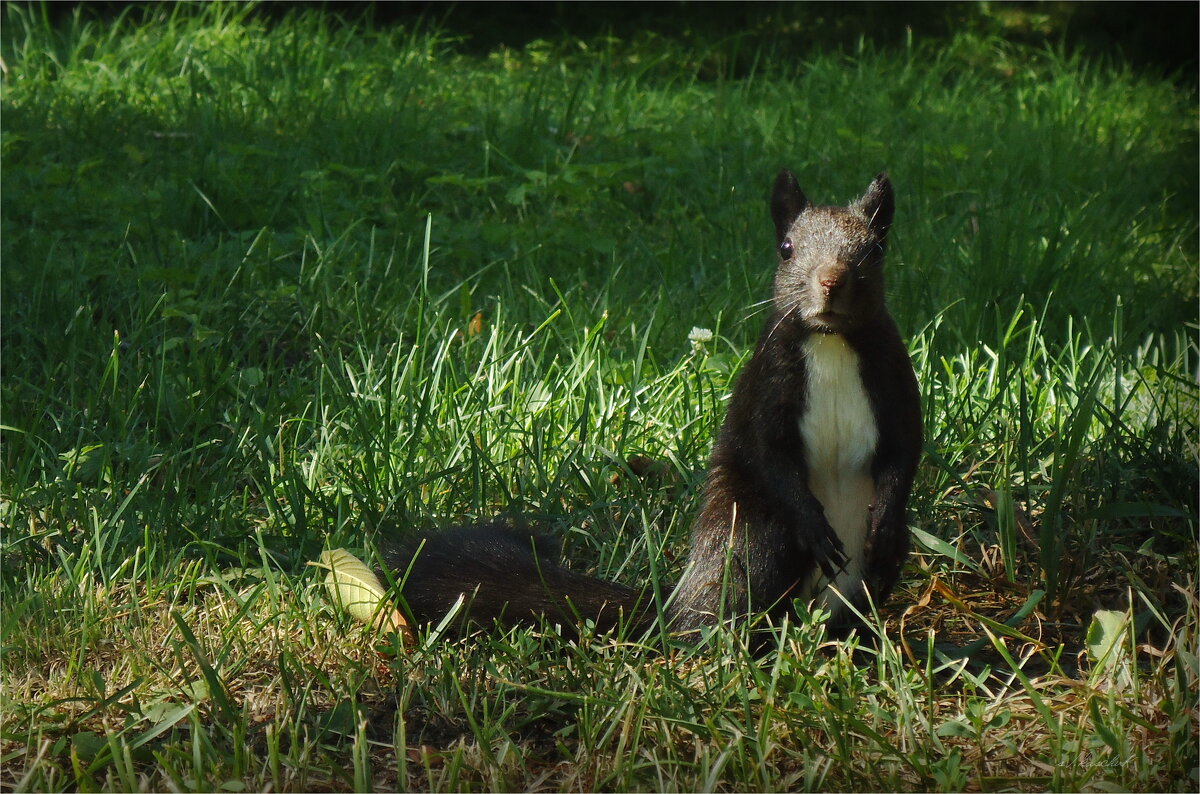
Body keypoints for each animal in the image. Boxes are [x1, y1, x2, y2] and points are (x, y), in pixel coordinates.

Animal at [384, 171, 916, 642]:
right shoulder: (766, 390)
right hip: (750, 532)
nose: (831, 280)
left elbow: (902, 451)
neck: (830, 343)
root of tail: (679, 605)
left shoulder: (896, 383)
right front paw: (813, 524)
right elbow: (773, 457)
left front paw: (886, 521)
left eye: (876, 249)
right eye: (786, 248)